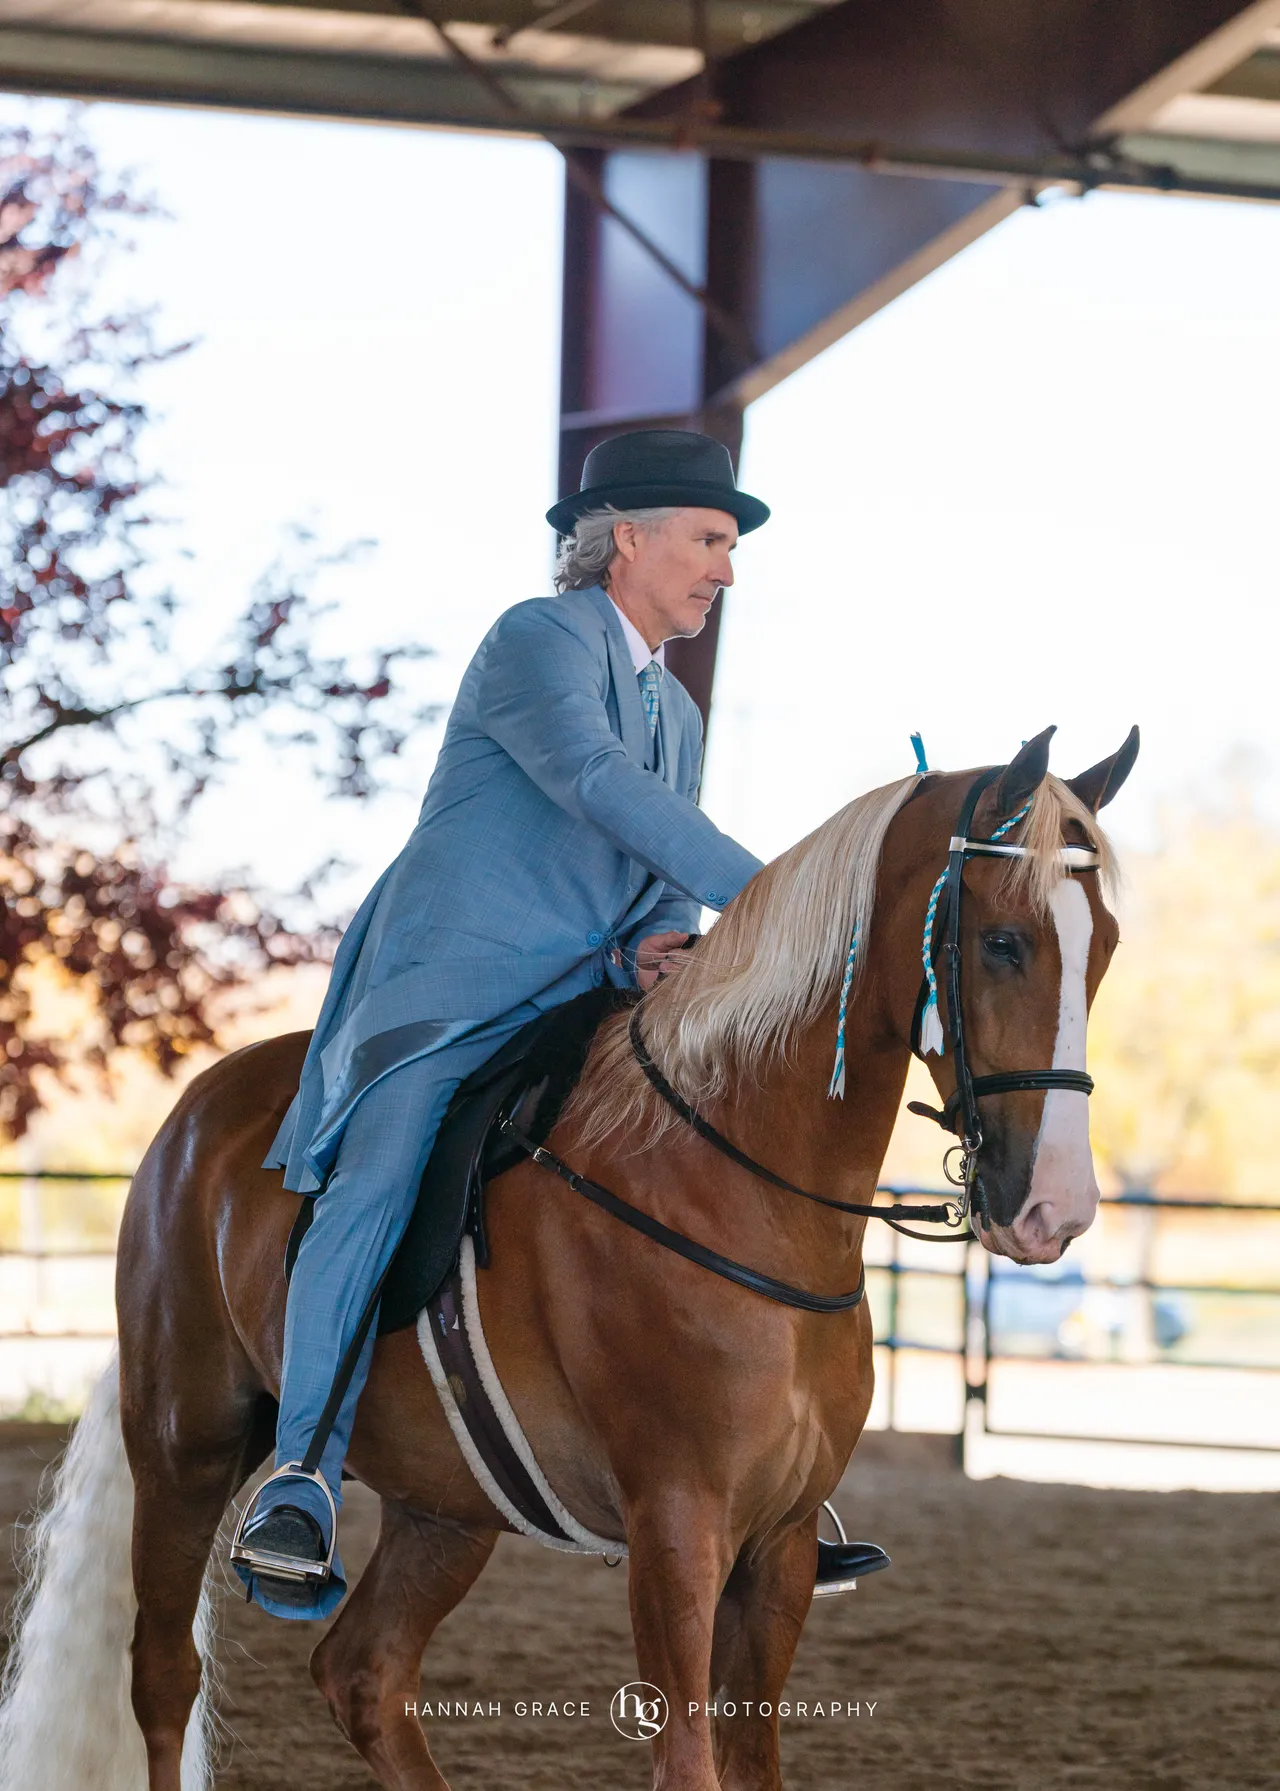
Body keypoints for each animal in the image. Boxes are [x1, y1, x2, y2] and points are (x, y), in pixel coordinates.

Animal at [0, 725, 1135, 1791]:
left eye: (1106, 948)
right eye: (1002, 942)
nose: (1055, 1208)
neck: (735, 1182)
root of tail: (197, 1108)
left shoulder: (777, 1548)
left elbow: (749, 1759)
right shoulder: (677, 1530)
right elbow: (688, 1761)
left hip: (444, 1506)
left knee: (362, 1672)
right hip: (186, 1444)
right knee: (163, 1676)